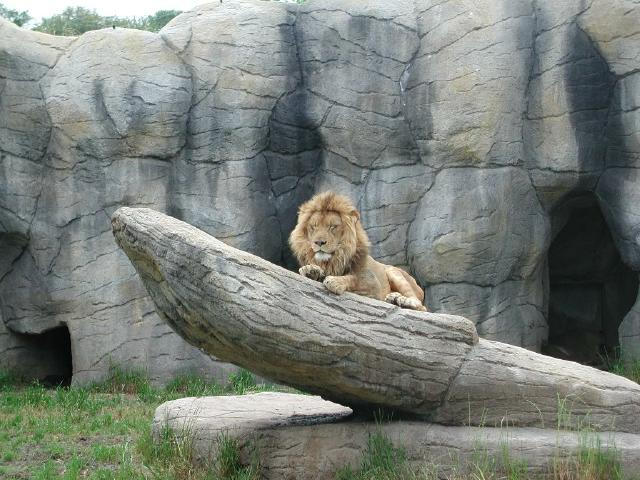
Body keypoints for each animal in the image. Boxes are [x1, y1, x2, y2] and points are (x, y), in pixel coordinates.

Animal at [289, 191, 427, 311]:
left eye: (333, 227)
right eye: (313, 227)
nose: (319, 242)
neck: (334, 259)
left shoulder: (373, 284)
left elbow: (354, 278)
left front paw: (335, 281)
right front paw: (310, 270)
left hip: (394, 272)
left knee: (422, 307)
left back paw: (404, 301)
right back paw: (393, 298)